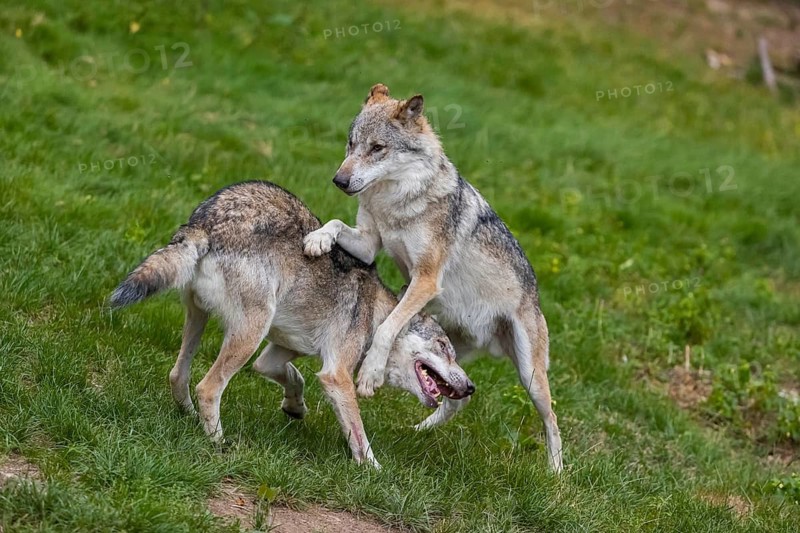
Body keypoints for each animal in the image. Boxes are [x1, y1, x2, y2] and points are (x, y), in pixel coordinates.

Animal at [110, 180, 474, 468]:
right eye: (445, 348)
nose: (470, 387)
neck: (375, 314)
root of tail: (204, 223)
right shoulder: (336, 376)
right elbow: (359, 435)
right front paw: (375, 473)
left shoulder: (274, 356)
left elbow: (294, 378)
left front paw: (295, 407)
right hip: (250, 332)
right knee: (208, 387)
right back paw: (218, 442)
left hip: (201, 320)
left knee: (178, 374)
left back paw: (188, 417)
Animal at [303, 84, 563, 472]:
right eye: (351, 144)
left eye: (377, 148)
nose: (339, 180)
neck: (395, 202)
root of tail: (535, 293)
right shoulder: (368, 244)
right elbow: (335, 223)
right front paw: (317, 240)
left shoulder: (425, 279)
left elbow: (387, 328)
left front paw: (370, 376)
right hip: (456, 355)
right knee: (460, 396)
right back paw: (420, 429)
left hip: (529, 375)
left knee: (551, 418)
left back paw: (556, 473)